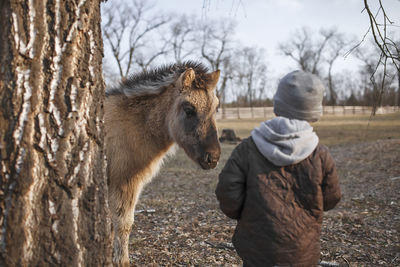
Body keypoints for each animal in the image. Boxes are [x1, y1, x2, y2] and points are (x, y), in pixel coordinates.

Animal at [103, 61, 222, 266]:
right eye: (189, 109)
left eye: (215, 108)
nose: (213, 158)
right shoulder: (123, 183)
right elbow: (123, 225)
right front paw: (121, 261)